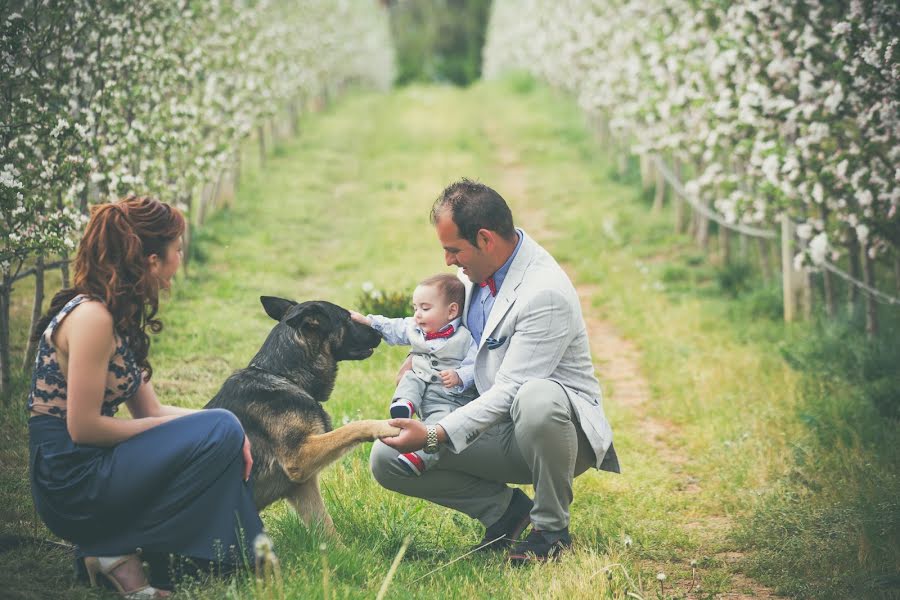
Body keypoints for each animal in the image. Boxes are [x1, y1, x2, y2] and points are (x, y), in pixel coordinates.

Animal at [207, 298, 400, 532]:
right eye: (346, 318)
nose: (379, 332)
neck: (283, 375)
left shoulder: (302, 486)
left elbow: (326, 527)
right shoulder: (300, 457)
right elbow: (353, 427)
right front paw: (386, 426)